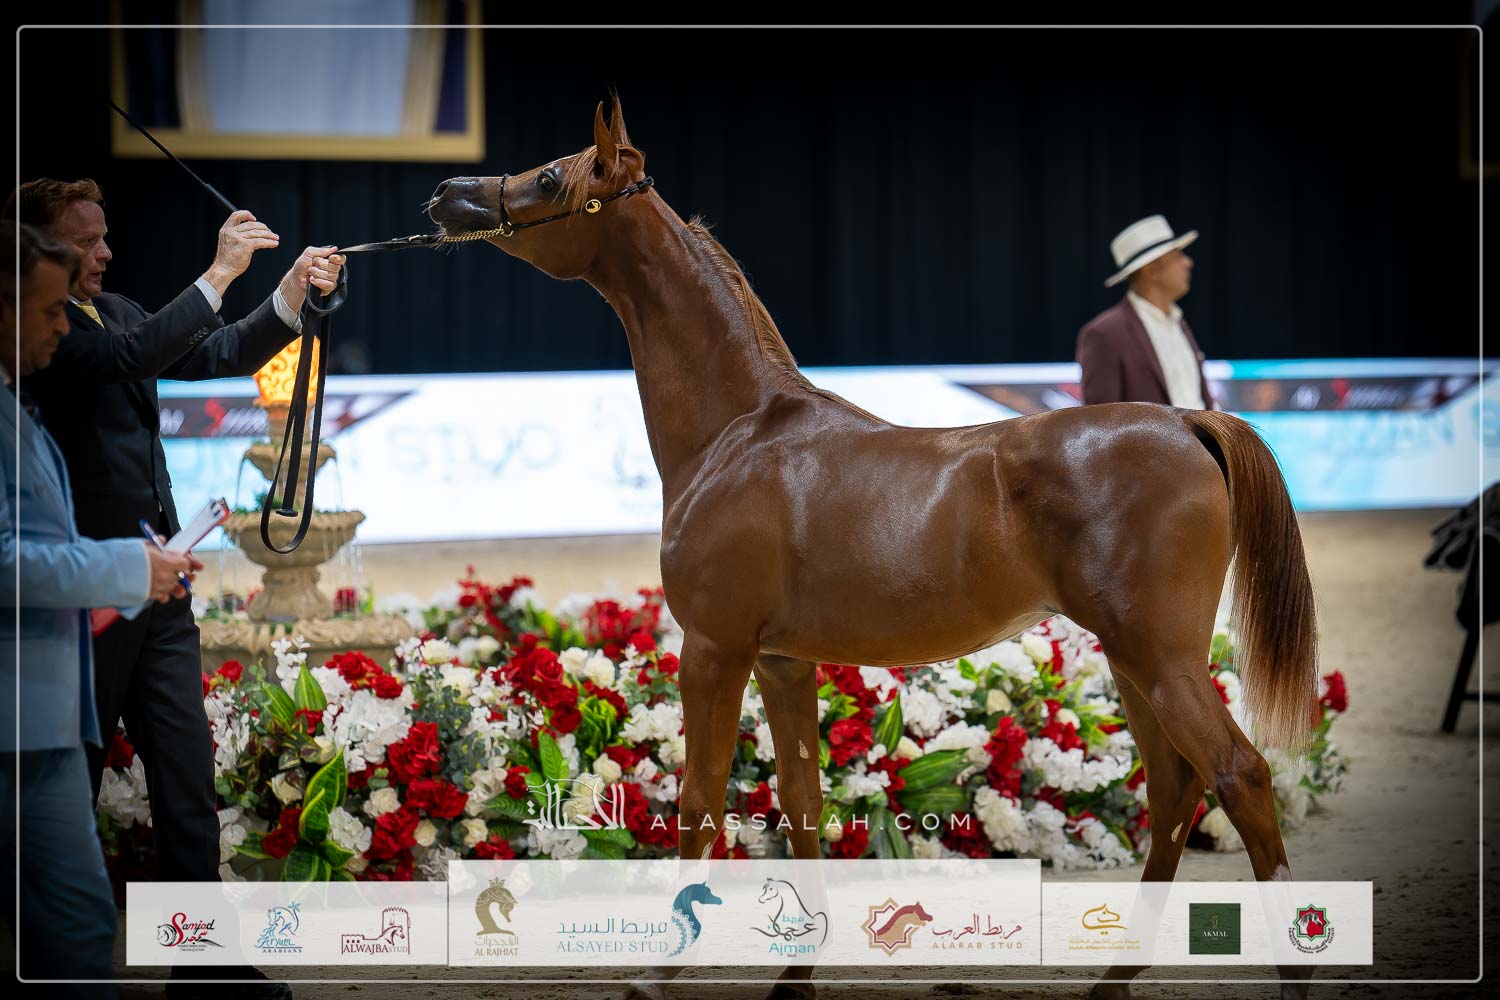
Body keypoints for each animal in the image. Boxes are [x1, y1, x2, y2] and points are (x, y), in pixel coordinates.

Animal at [427, 96, 1319, 1000]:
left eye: (549, 177)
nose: (446, 195)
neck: (739, 433)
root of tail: (1185, 419)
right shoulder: (783, 661)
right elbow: (800, 802)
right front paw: (797, 973)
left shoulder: (713, 649)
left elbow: (701, 801)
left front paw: (659, 972)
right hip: (1135, 662)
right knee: (1174, 794)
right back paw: (1113, 977)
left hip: (1160, 658)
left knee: (1239, 777)